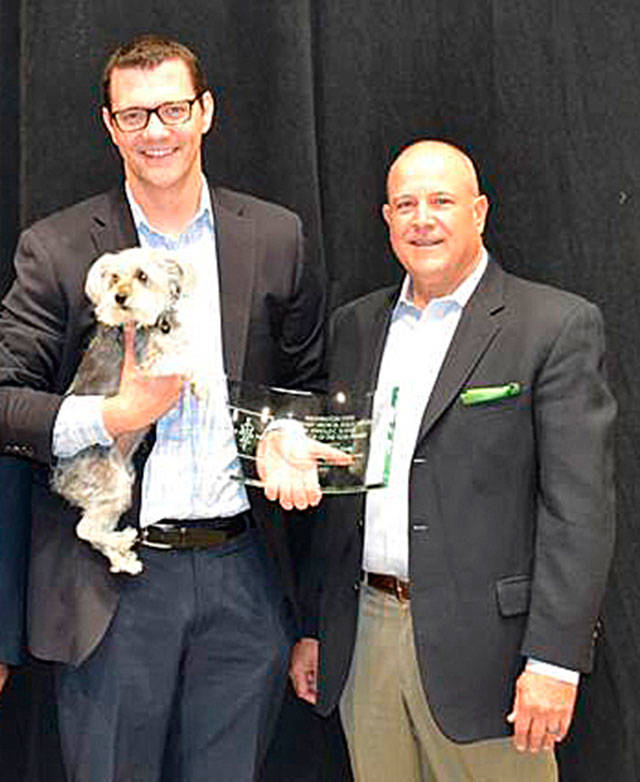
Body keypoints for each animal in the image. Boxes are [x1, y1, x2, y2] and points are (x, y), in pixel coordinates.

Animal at [52, 248, 195, 580]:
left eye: (142, 275)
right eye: (114, 277)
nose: (119, 297)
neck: (147, 325)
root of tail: (62, 479)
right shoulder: (150, 368)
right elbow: (179, 360)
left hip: (118, 486)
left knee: (93, 530)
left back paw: (122, 557)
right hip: (112, 484)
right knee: (85, 531)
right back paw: (123, 539)